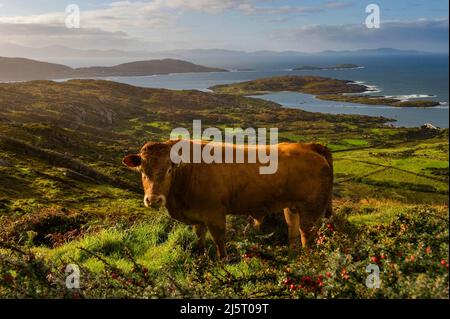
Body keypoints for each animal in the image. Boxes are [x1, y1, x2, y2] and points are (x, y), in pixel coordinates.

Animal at [123, 141, 334, 258]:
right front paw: (201, 256)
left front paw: (222, 261)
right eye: (142, 170)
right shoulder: (198, 214)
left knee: (306, 236)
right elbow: (199, 235)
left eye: (168, 170)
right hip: (292, 207)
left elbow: (218, 240)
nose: (154, 200)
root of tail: (310, 147)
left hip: (311, 210)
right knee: (292, 232)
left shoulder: (214, 213)